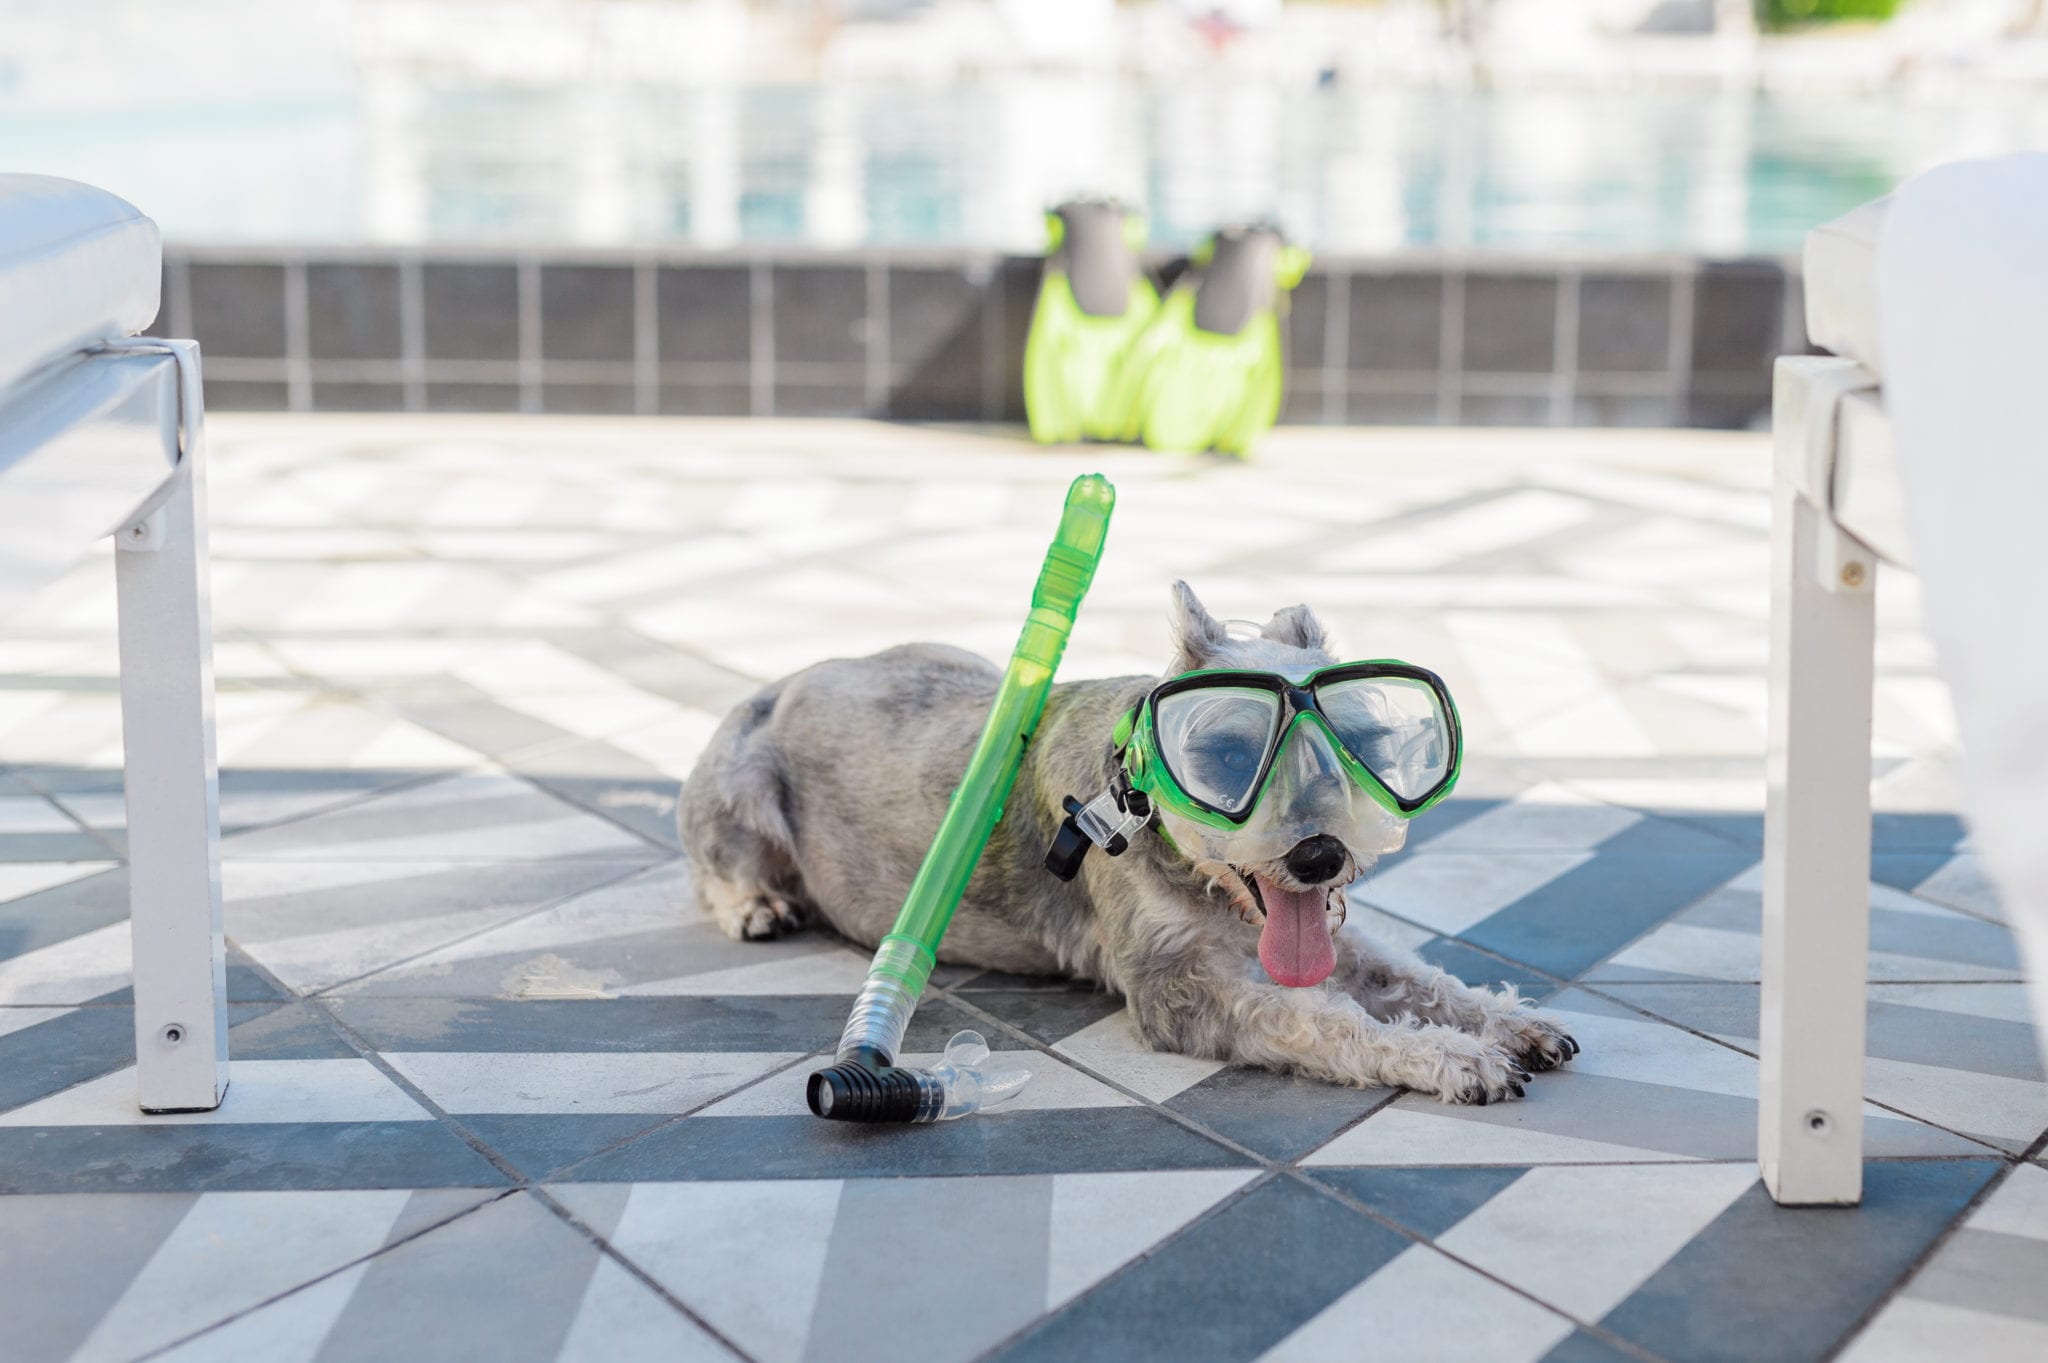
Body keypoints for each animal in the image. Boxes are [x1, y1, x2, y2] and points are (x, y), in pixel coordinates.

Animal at [679, 577, 1572, 1096]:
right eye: (1227, 754)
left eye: (1355, 746)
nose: (1320, 854)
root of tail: (778, 682)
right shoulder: (1177, 992)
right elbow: (1322, 1020)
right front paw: (1456, 1061)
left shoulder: (1328, 938)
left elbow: (1418, 978)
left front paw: (1514, 1024)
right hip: (737, 785)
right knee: (714, 867)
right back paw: (756, 905)